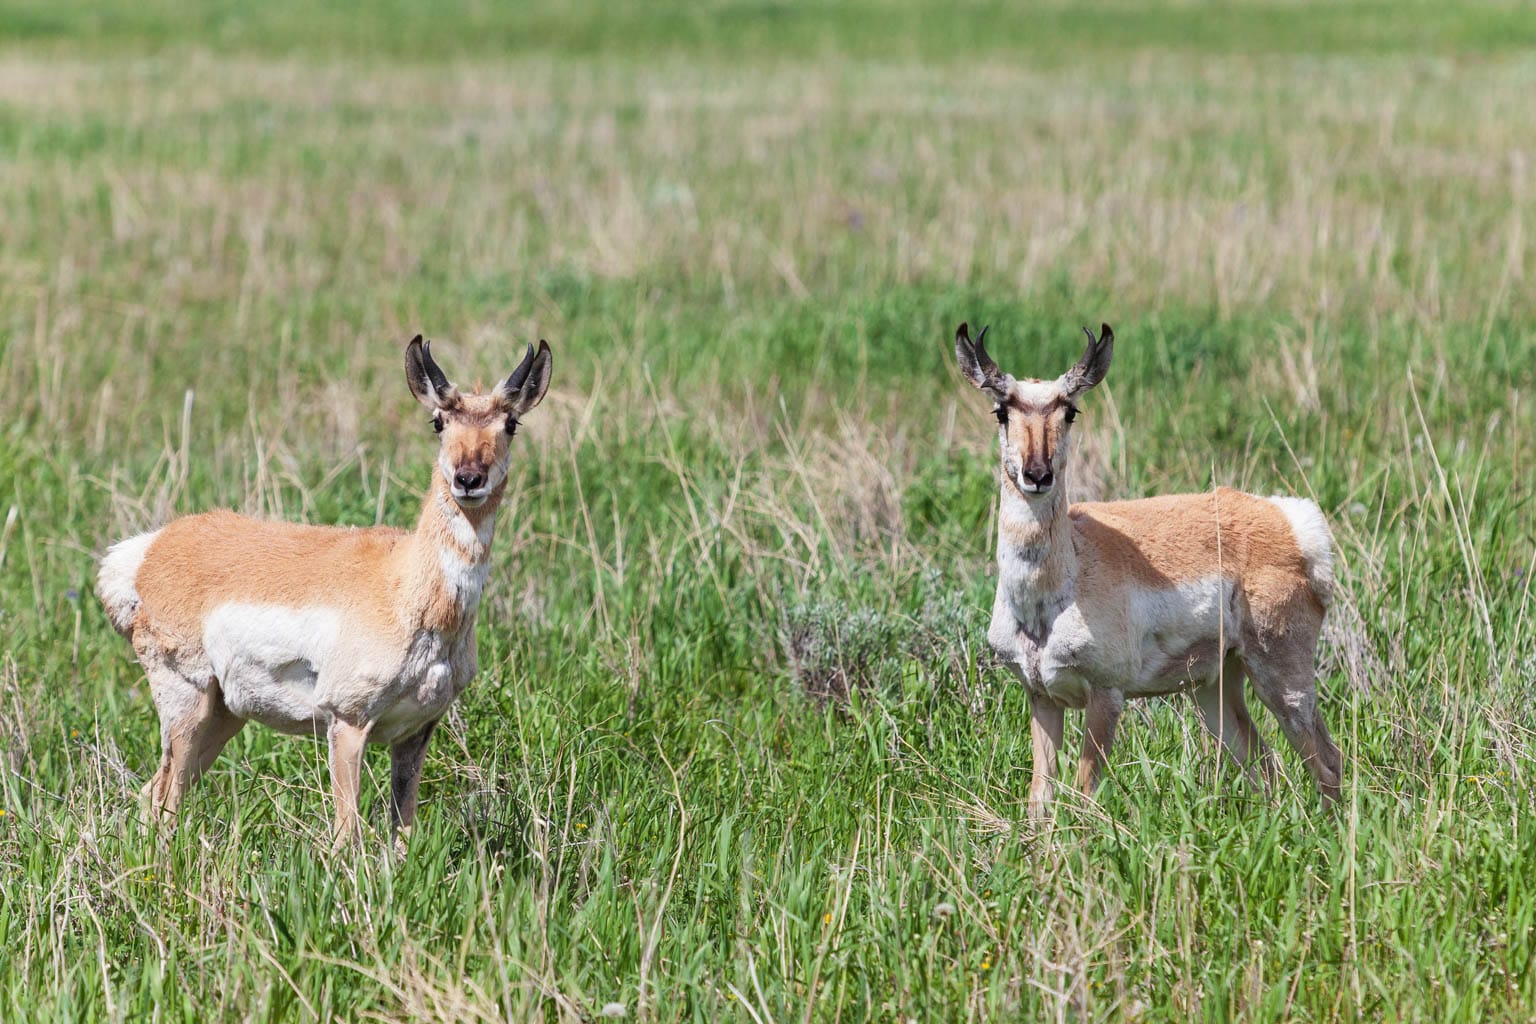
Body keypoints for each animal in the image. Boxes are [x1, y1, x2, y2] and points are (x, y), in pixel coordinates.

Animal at [97, 336, 552, 847]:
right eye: (438, 421)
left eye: (510, 423)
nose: (468, 479)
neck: (402, 583)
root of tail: (150, 549)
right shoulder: (347, 721)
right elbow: (346, 833)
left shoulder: (415, 733)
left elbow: (403, 833)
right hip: (187, 705)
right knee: (165, 801)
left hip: (224, 715)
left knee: (149, 796)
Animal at [952, 320, 1339, 816]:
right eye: (1001, 411)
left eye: (1070, 411)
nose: (1037, 475)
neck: (1054, 593)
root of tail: (1288, 518)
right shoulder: (1041, 695)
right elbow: (1041, 797)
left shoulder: (1106, 696)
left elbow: (1084, 793)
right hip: (1215, 686)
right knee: (1265, 766)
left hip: (1281, 676)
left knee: (1326, 761)